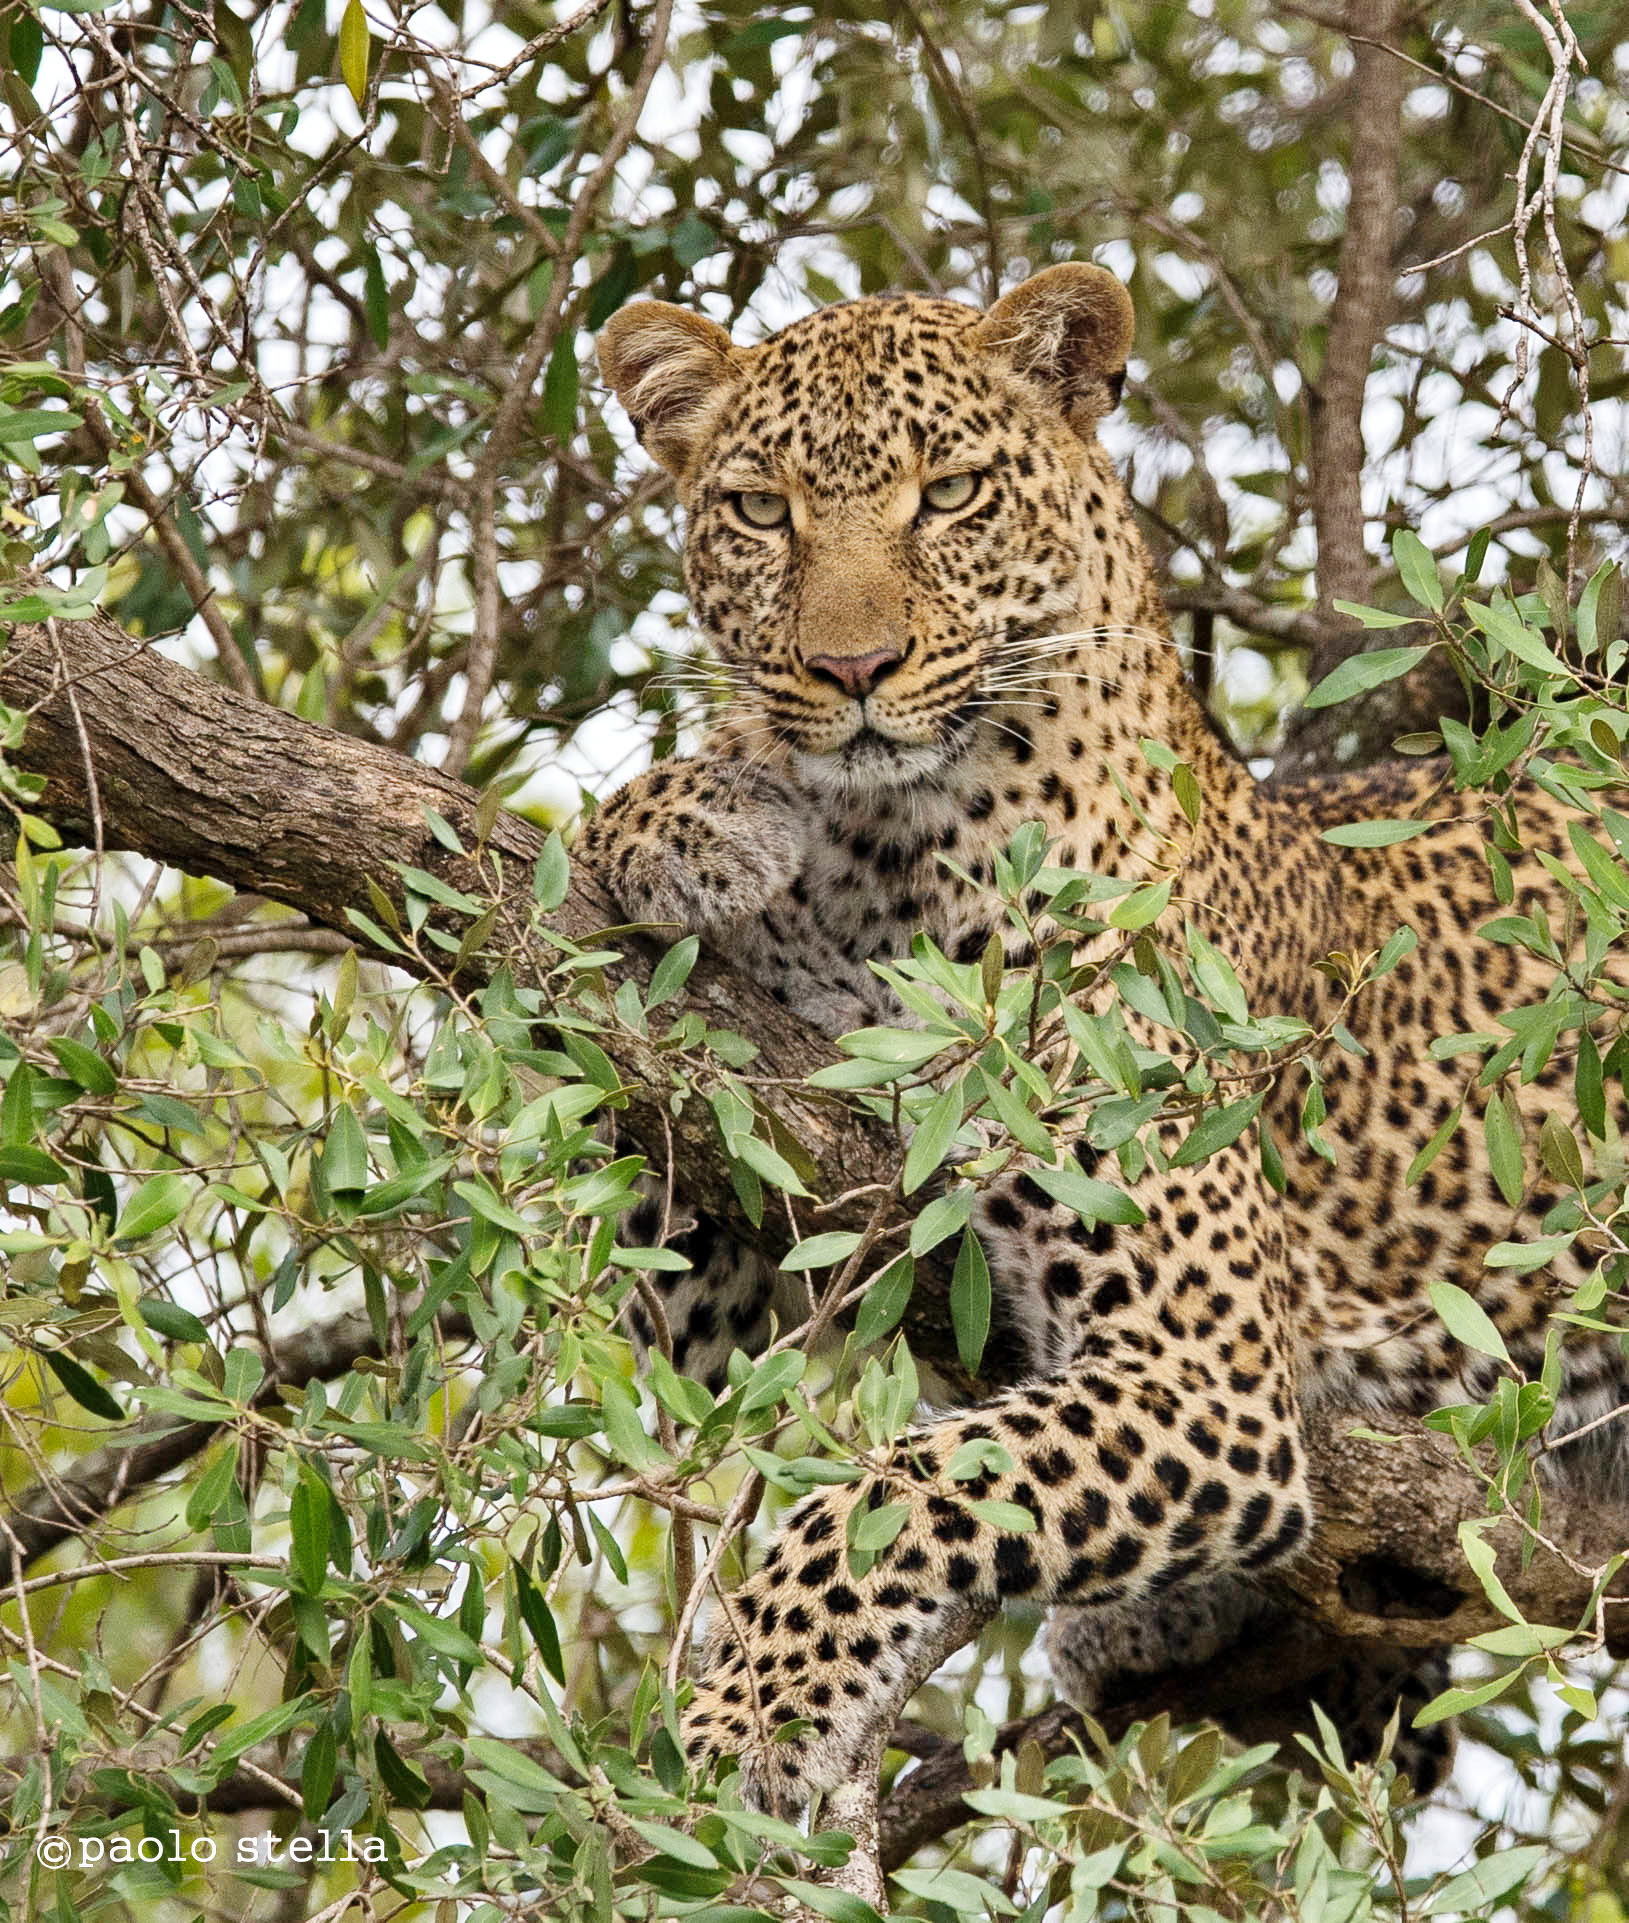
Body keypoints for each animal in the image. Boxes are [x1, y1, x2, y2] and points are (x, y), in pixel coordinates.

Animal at [578, 262, 1628, 1822]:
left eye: (950, 493)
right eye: (760, 510)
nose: (851, 666)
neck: (890, 857)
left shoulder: (1202, 1368)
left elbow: (899, 1487)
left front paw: (755, 1709)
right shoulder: (729, 1251)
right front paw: (698, 812)